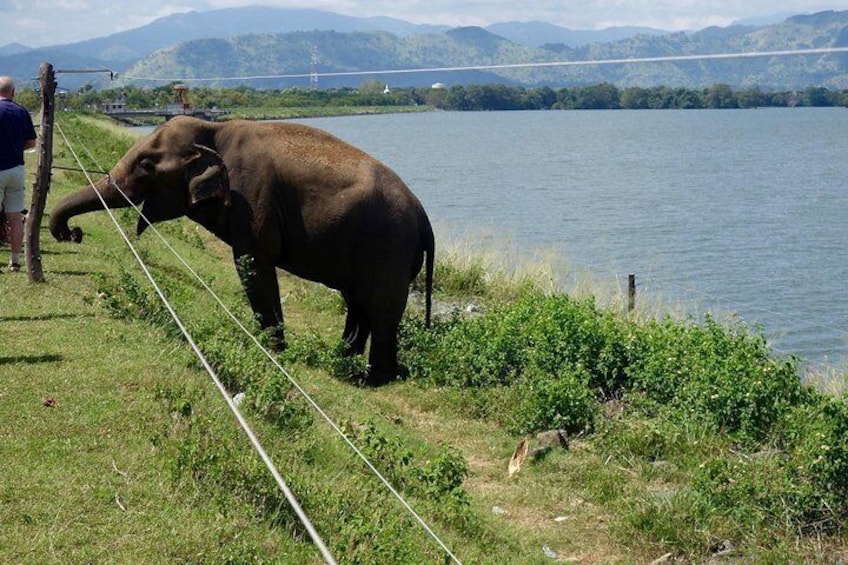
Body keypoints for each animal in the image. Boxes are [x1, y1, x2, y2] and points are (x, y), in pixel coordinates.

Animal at [51, 117, 438, 386]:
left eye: (146, 165)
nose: (73, 233)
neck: (214, 129)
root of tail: (424, 216)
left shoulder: (251, 200)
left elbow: (252, 263)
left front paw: (270, 348)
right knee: (358, 303)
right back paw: (341, 363)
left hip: (389, 246)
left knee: (381, 307)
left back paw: (371, 379)